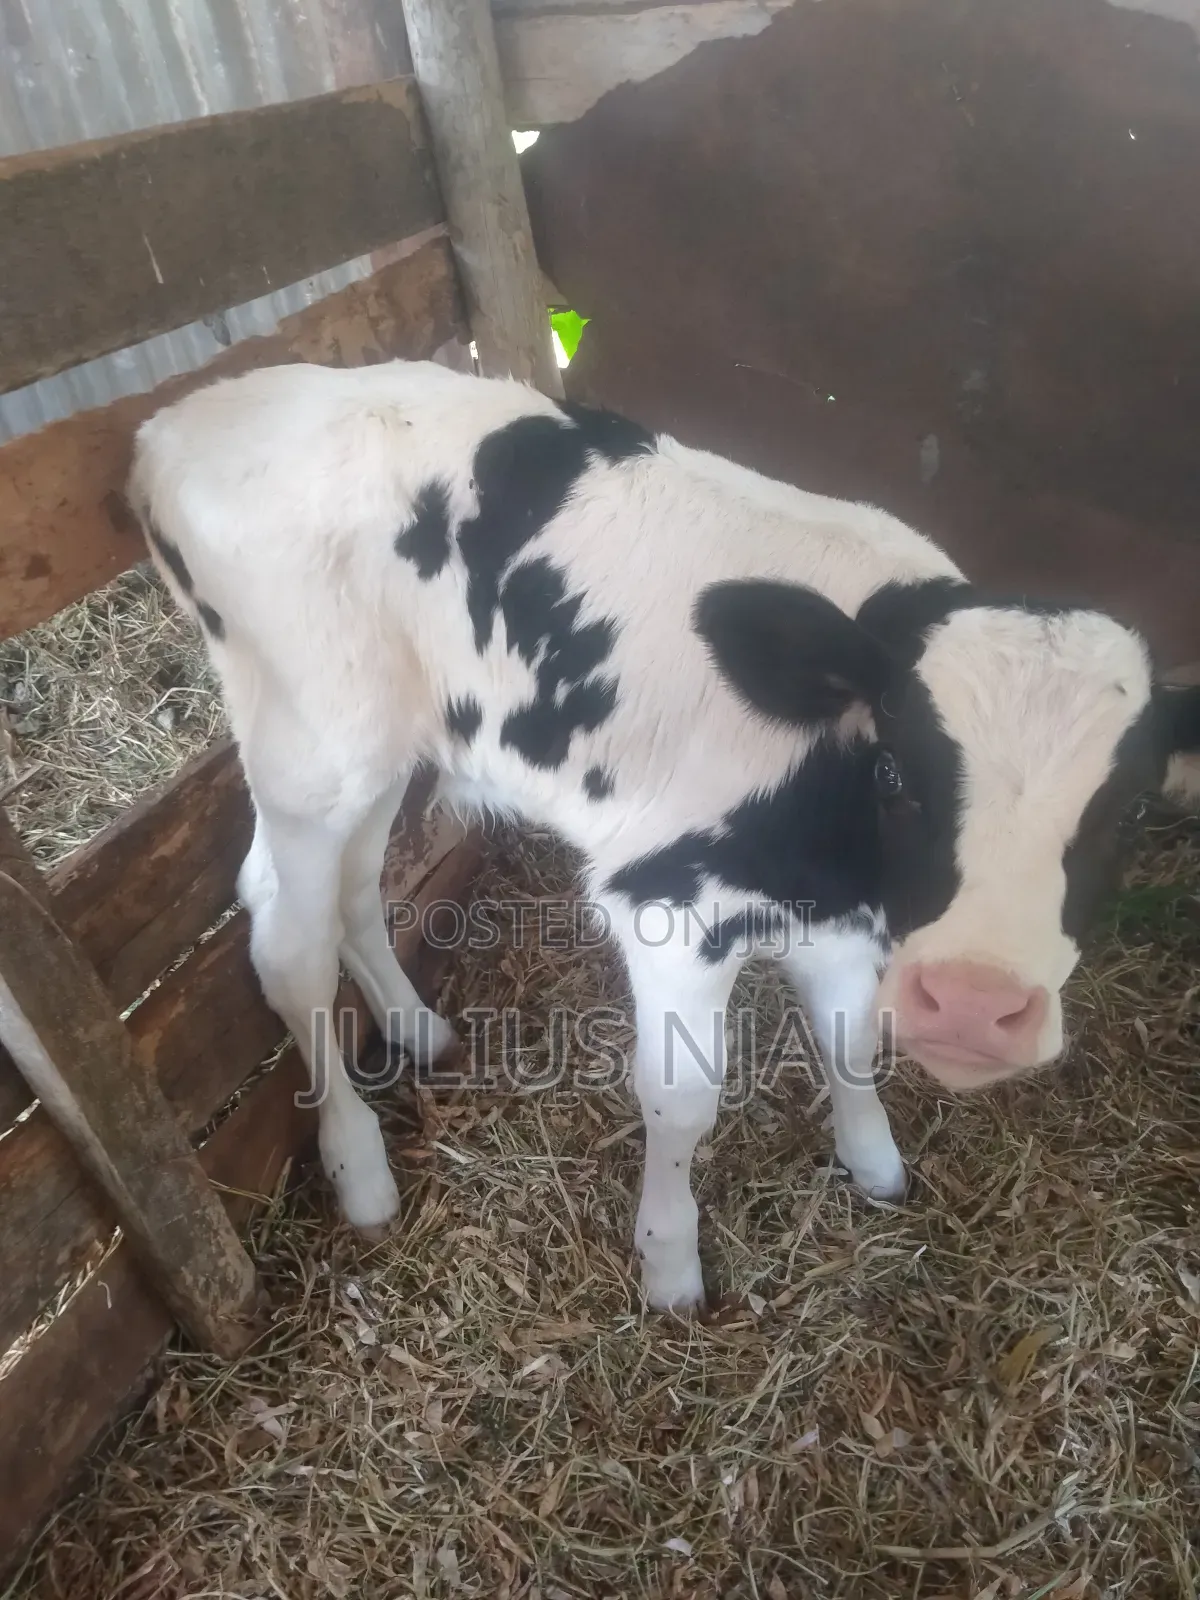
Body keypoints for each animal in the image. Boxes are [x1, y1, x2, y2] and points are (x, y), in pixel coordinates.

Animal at [129, 359, 1200, 1312]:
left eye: (1130, 810)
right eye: (898, 773)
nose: (977, 1007)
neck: (832, 848)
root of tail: (176, 425)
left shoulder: (846, 921)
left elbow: (851, 1039)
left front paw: (874, 1162)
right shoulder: (670, 909)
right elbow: (684, 1099)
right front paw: (670, 1263)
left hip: (388, 744)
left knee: (352, 884)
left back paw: (416, 1027)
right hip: (314, 749)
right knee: (285, 936)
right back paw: (359, 1168)